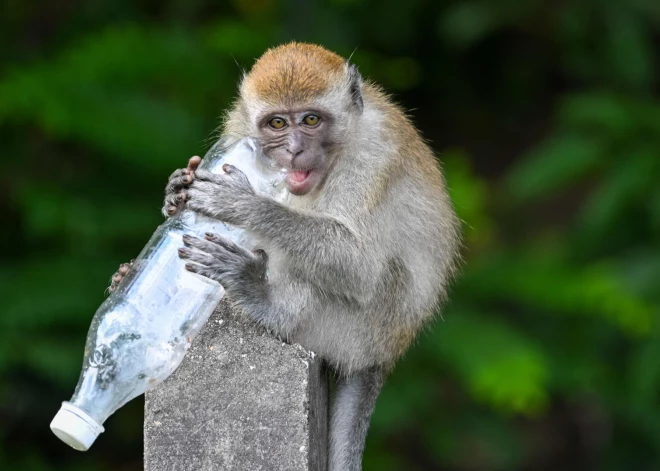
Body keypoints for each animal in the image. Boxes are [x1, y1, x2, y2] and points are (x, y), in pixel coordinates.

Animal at [109, 42, 458, 470]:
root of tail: (384, 354)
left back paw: (264, 301)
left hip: (358, 331)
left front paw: (243, 204)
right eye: (277, 124)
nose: (294, 150)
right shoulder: (239, 129)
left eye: (311, 120)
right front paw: (177, 189)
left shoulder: (372, 155)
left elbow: (359, 267)